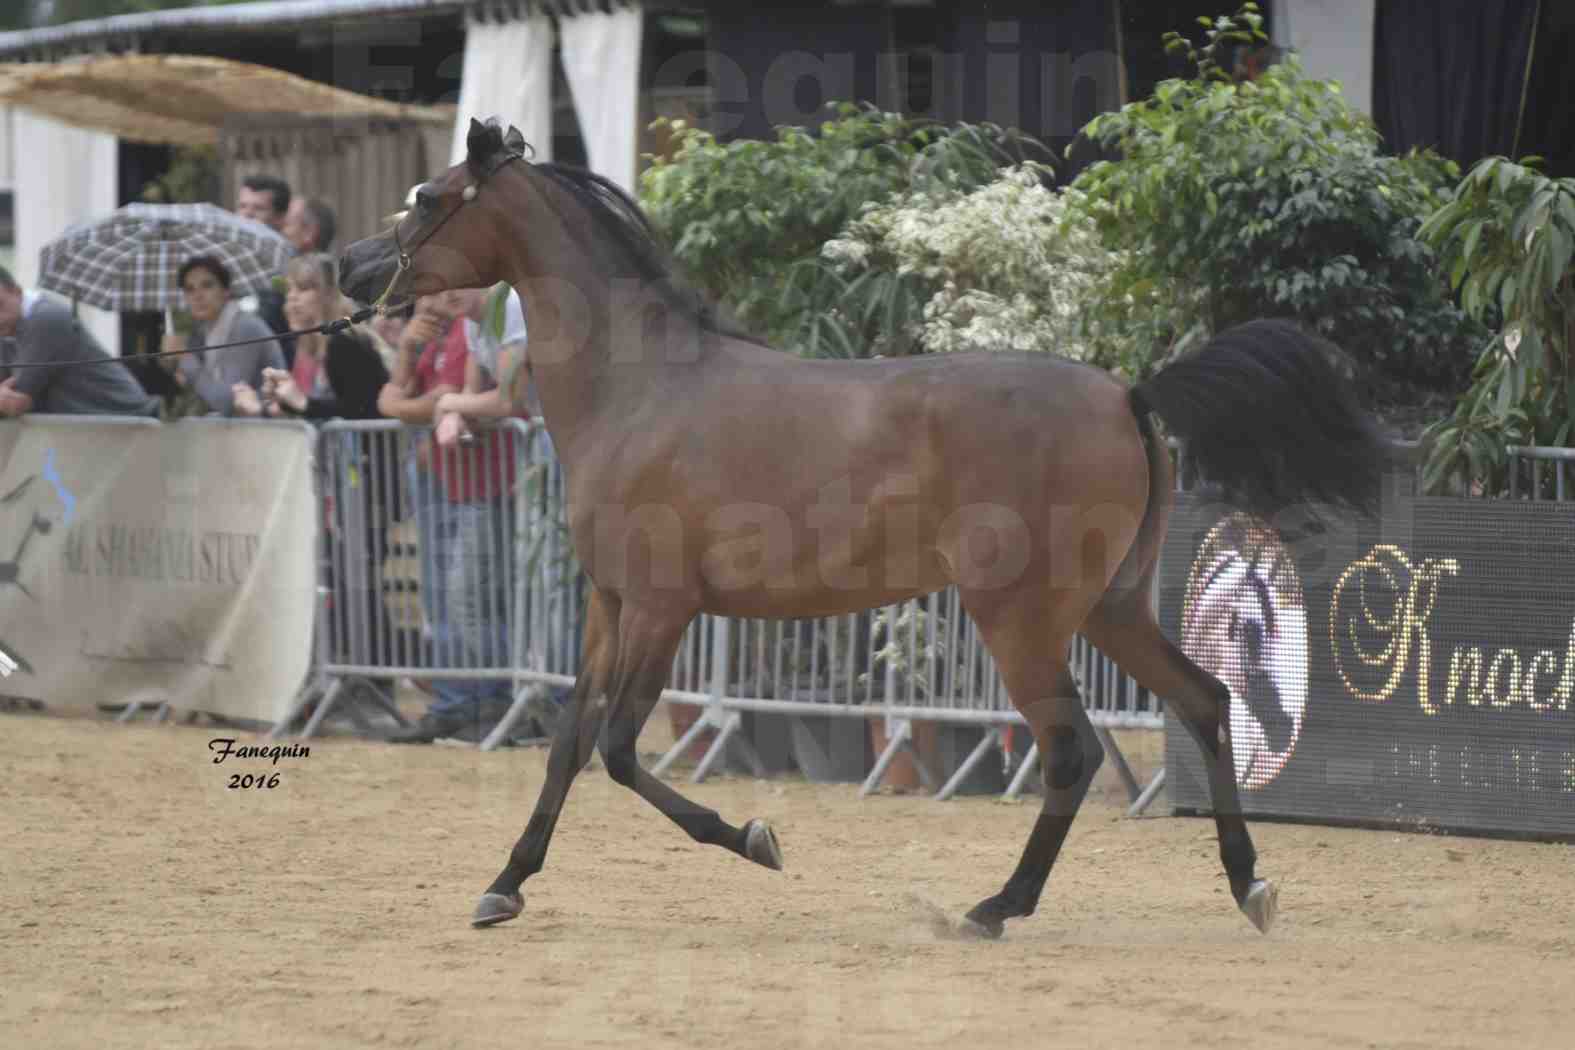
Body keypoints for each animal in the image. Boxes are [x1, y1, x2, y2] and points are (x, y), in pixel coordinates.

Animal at [338, 118, 1386, 938]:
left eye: (428, 196)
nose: (348, 271)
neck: (639, 389)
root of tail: (1127, 392)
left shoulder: (663, 610)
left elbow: (623, 750)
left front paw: (756, 840)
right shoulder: (609, 604)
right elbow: (567, 742)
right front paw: (505, 885)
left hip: (1020, 620)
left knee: (1072, 753)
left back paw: (994, 908)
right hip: (1107, 609)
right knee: (1205, 702)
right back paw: (1248, 885)